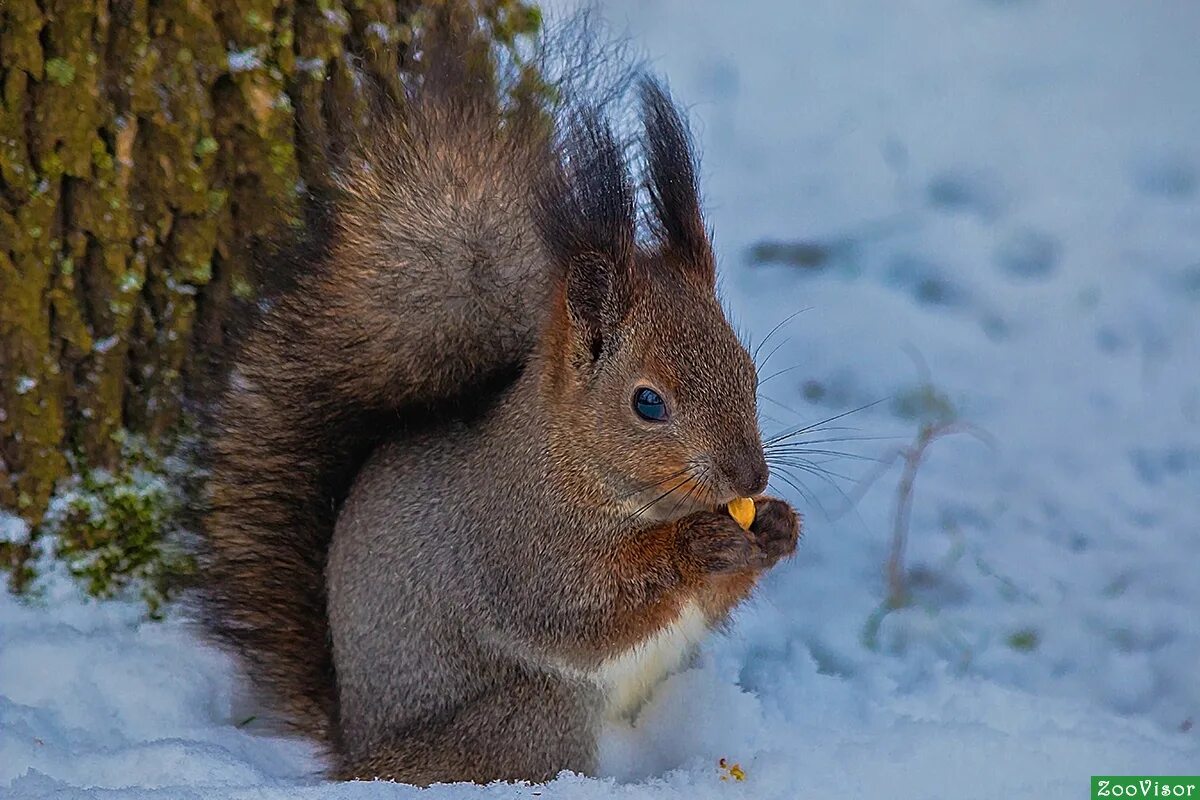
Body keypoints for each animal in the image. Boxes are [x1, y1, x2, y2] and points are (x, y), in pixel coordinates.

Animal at [194, 10, 796, 786]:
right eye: (648, 403)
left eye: (749, 371)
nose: (749, 478)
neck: (576, 466)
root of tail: (362, 750)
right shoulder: (518, 548)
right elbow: (583, 613)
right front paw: (698, 544)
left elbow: (712, 604)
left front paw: (777, 527)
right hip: (533, 717)